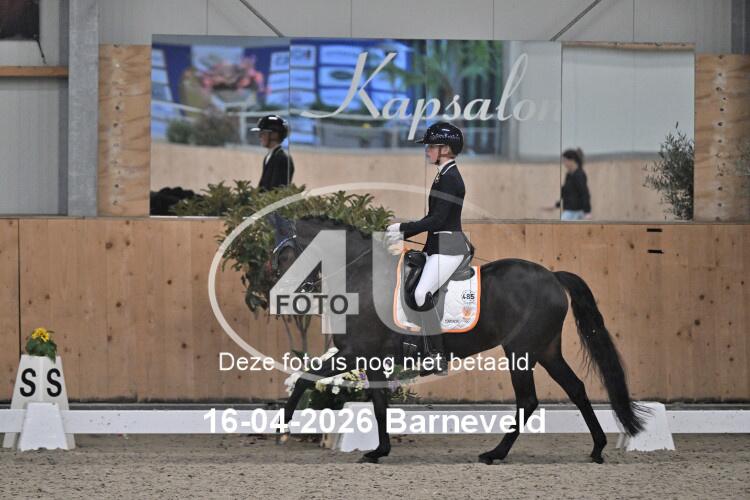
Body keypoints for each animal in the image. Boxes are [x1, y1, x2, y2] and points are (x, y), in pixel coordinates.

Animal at [272, 215, 645, 464]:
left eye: (286, 254)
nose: (280, 294)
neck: (363, 276)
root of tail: (553, 276)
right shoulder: (365, 358)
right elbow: (375, 404)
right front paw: (378, 450)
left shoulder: (355, 353)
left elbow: (309, 379)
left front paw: (282, 426)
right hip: (547, 349)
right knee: (576, 389)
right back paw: (596, 448)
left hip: (521, 351)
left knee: (528, 400)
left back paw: (494, 453)